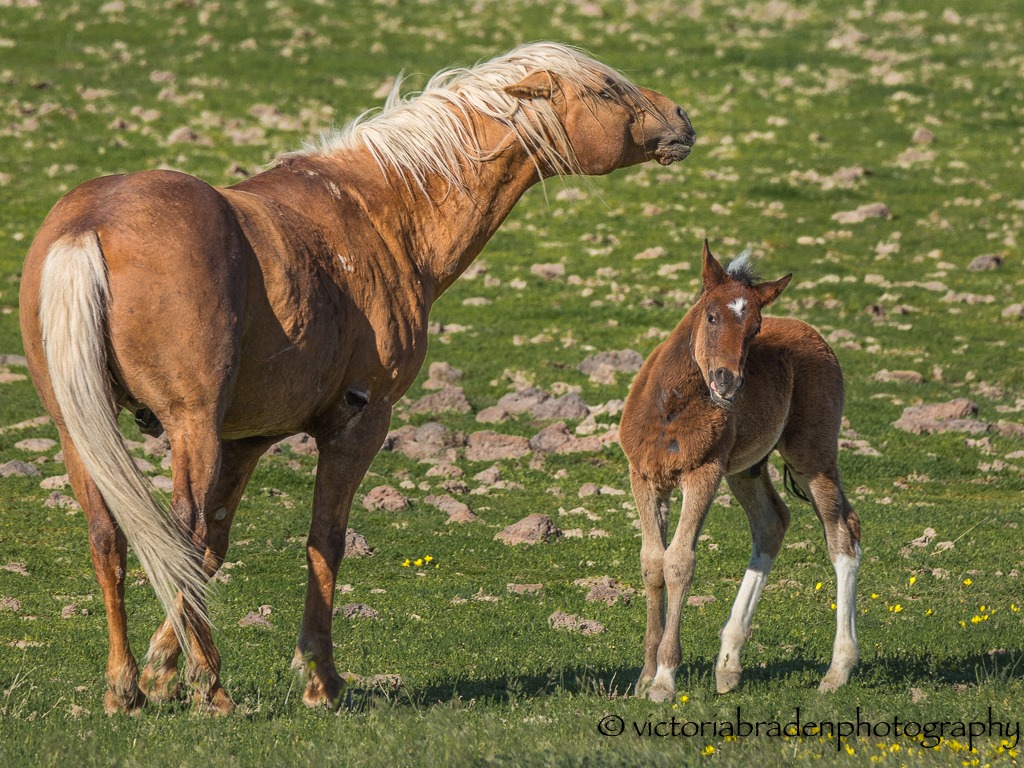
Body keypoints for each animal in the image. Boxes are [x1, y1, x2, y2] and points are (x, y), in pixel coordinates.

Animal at [19, 43, 700, 716]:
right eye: (607, 90)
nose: (681, 118)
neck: (380, 212)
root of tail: (89, 225)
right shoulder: (357, 423)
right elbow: (322, 542)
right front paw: (318, 679)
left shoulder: (245, 441)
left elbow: (213, 545)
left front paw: (164, 670)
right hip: (191, 429)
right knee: (173, 534)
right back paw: (212, 688)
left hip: (82, 434)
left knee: (111, 538)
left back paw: (126, 690)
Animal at [618, 240, 860, 704]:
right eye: (711, 316)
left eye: (755, 328)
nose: (727, 382)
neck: (670, 408)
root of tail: (815, 334)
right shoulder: (644, 476)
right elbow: (651, 562)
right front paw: (643, 675)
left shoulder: (703, 472)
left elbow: (679, 562)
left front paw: (664, 678)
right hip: (746, 469)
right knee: (772, 523)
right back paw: (728, 664)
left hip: (812, 455)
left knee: (843, 532)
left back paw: (838, 669)